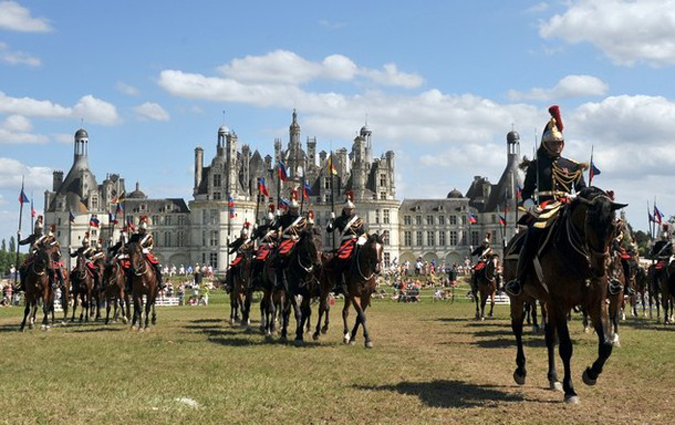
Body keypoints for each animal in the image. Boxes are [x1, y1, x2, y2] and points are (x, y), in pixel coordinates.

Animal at [504, 187, 624, 402]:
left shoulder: (596, 303)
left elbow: (606, 344)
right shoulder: (561, 303)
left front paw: (591, 374)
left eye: (612, 227)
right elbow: (566, 347)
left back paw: (553, 378)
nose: (600, 269)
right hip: (518, 298)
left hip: (547, 303)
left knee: (550, 338)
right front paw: (571, 390)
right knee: (517, 329)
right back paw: (521, 370)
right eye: (590, 223)